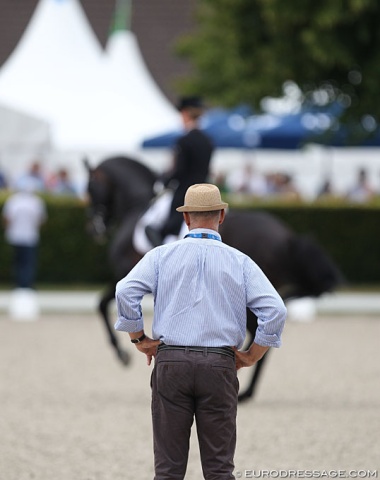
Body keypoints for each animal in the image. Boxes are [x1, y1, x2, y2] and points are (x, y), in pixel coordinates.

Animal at [85, 157, 342, 402]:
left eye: (90, 188)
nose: (95, 230)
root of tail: (286, 236)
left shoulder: (124, 273)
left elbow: (102, 304)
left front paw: (122, 355)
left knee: (261, 336)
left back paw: (244, 390)